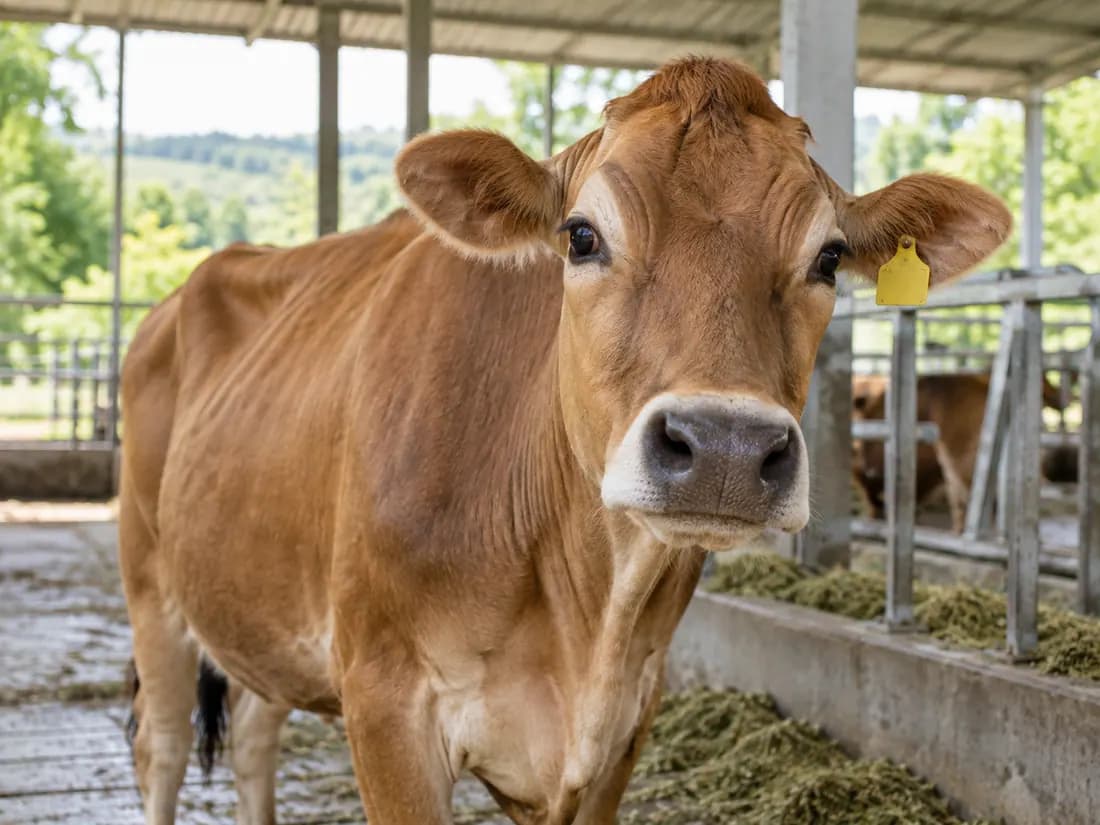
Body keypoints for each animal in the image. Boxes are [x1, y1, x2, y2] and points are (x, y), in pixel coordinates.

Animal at [118, 58, 1010, 825]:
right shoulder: (383, 698)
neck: (584, 612)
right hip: (150, 578)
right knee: (161, 747)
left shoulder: (626, 719)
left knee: (252, 733)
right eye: (582, 236)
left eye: (827, 258)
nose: (724, 446)